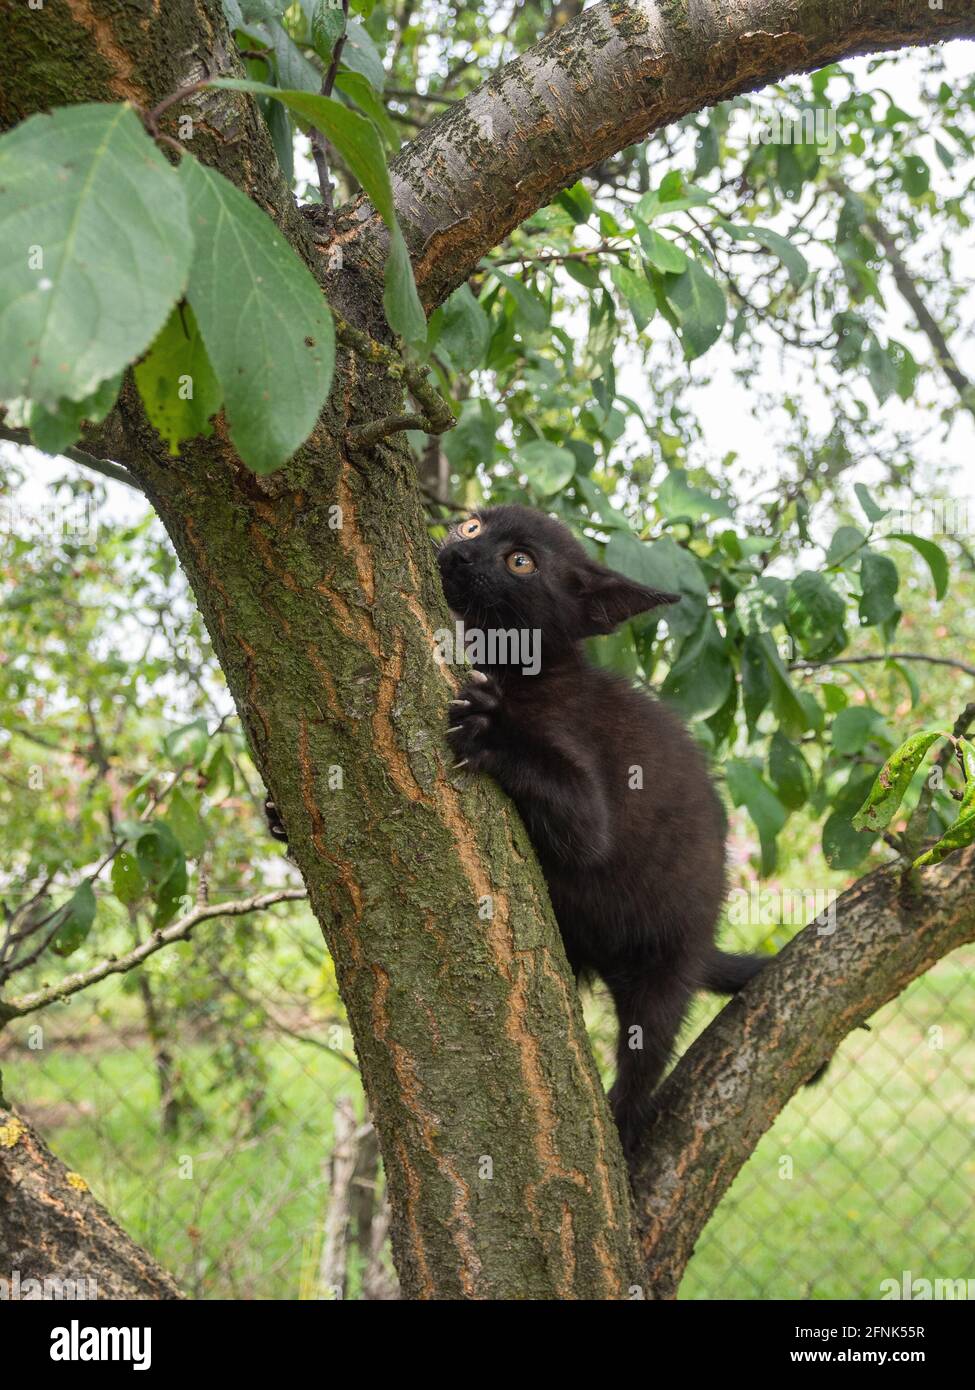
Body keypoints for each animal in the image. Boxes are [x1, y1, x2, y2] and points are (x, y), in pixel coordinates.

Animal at [436, 511, 762, 1162]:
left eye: (521, 562)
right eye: (473, 526)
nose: (460, 554)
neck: (519, 666)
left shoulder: (587, 800)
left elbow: (574, 816)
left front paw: (489, 728)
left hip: (666, 967)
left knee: (646, 1053)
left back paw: (623, 1136)